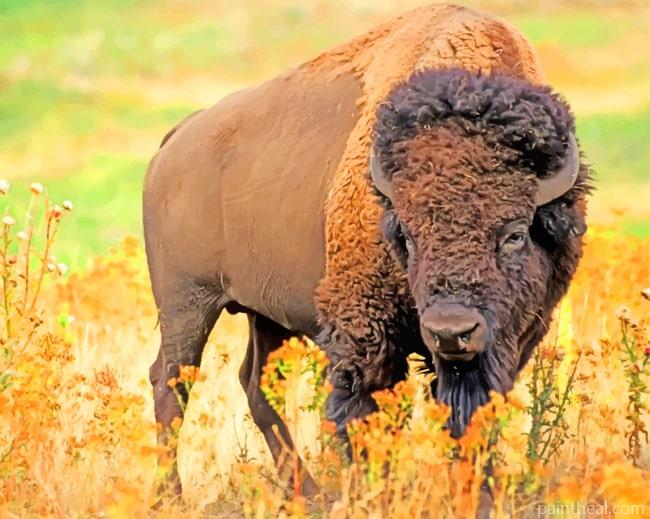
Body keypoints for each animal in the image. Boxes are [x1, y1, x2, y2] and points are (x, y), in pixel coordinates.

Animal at [143, 3, 590, 495]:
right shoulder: (365, 335)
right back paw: (171, 496)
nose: (451, 331)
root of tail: (176, 139)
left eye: (514, 233)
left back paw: (306, 494)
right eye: (407, 236)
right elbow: (366, 416)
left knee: (255, 383)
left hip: (265, 314)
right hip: (187, 304)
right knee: (172, 383)